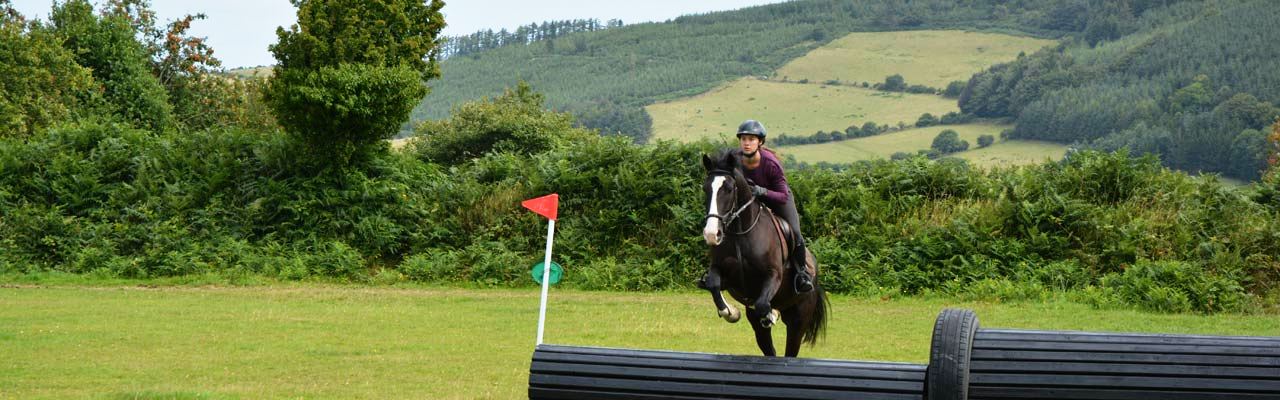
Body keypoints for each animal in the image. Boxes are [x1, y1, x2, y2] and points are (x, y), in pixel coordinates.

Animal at [701, 150, 829, 356]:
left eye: (728, 189)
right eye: (705, 189)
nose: (712, 234)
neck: (740, 232)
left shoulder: (773, 275)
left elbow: (762, 303)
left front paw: (770, 313)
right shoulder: (722, 271)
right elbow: (713, 284)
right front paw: (731, 312)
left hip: (799, 319)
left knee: (790, 348)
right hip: (758, 324)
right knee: (768, 347)